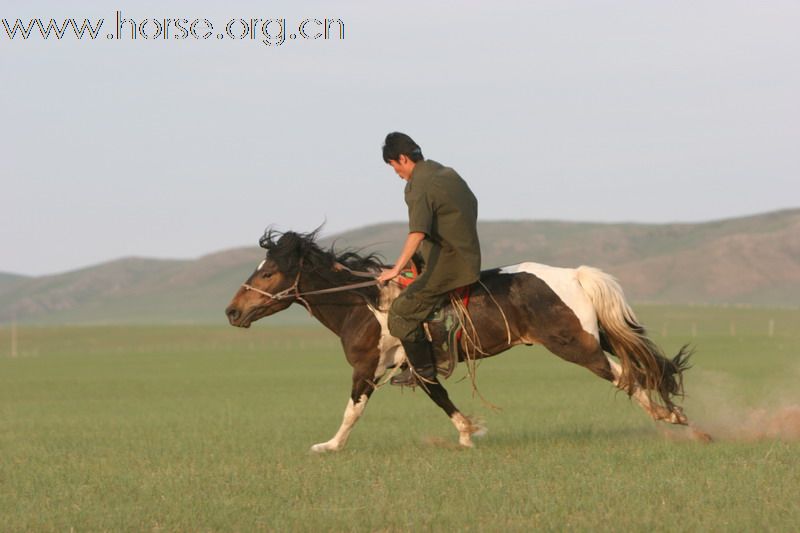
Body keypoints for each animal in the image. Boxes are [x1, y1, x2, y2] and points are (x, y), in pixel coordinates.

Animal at [227, 228, 700, 448]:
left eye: (269, 273)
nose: (232, 311)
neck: (365, 303)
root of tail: (574, 275)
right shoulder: (413, 365)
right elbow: (439, 397)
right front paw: (468, 433)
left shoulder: (368, 366)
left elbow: (352, 411)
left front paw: (328, 446)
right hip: (595, 336)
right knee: (639, 367)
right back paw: (678, 416)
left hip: (576, 346)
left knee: (625, 376)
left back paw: (672, 417)